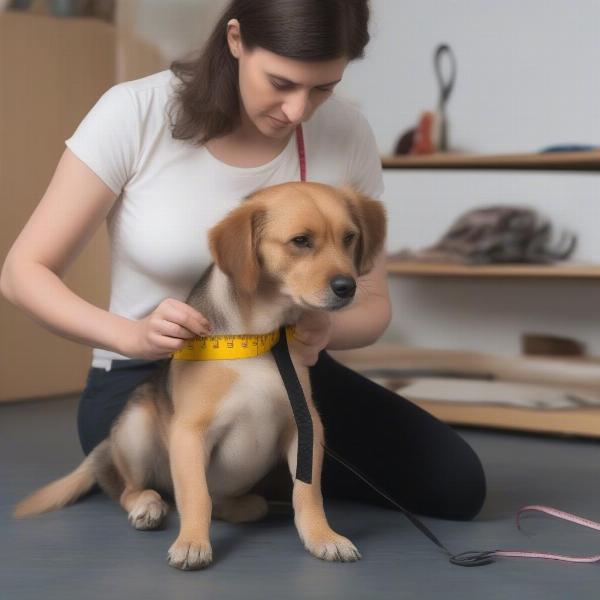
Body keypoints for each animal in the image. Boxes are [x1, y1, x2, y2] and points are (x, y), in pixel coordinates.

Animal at [15, 183, 390, 572]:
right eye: (301, 241)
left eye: (349, 238)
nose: (347, 286)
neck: (261, 338)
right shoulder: (190, 432)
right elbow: (195, 496)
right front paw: (192, 542)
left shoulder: (305, 426)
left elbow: (307, 492)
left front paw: (322, 536)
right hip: (136, 427)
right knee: (133, 490)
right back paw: (148, 505)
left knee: (225, 503)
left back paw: (249, 505)